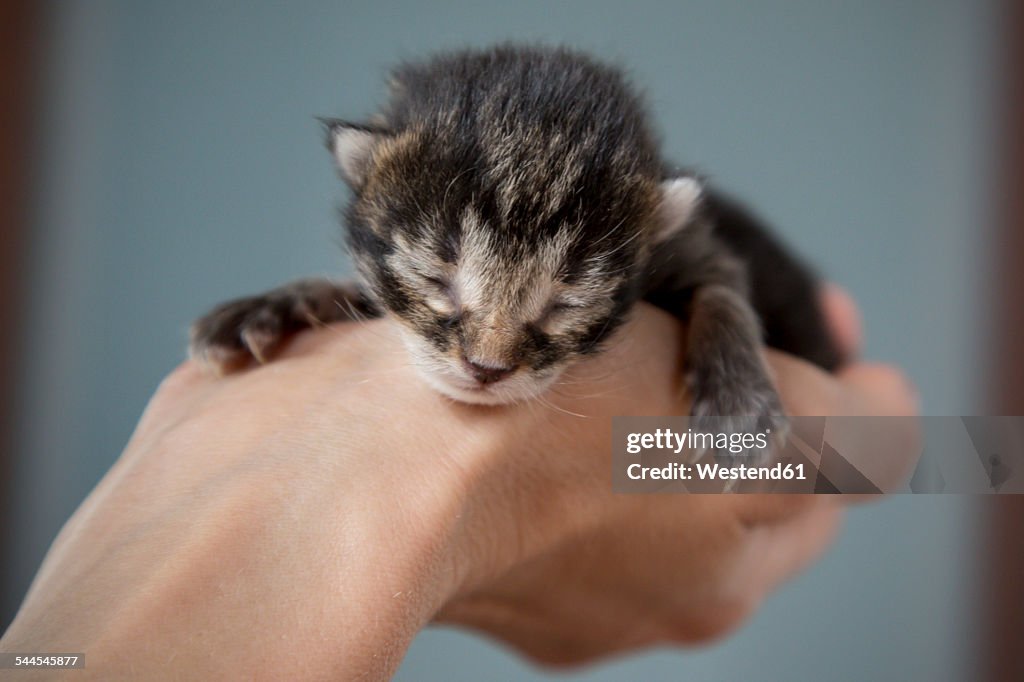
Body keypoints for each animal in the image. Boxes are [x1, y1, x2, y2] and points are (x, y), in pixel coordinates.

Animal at [190, 46, 839, 430]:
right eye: (435, 279)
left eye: (566, 304)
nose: (486, 369)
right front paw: (280, 301)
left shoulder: (694, 246)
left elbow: (723, 288)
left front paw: (738, 398)